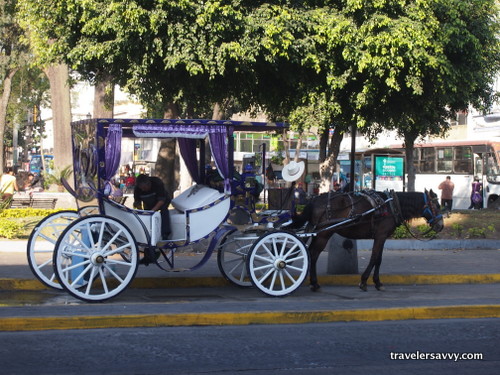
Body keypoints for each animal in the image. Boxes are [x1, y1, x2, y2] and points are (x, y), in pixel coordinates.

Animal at [292, 191, 444, 290]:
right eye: (437, 206)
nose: (441, 226)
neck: (393, 206)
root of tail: (315, 200)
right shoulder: (381, 236)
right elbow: (374, 257)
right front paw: (364, 281)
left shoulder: (381, 237)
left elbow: (379, 259)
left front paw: (377, 282)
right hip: (324, 234)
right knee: (313, 254)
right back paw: (314, 283)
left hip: (317, 232)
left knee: (310, 253)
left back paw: (312, 282)